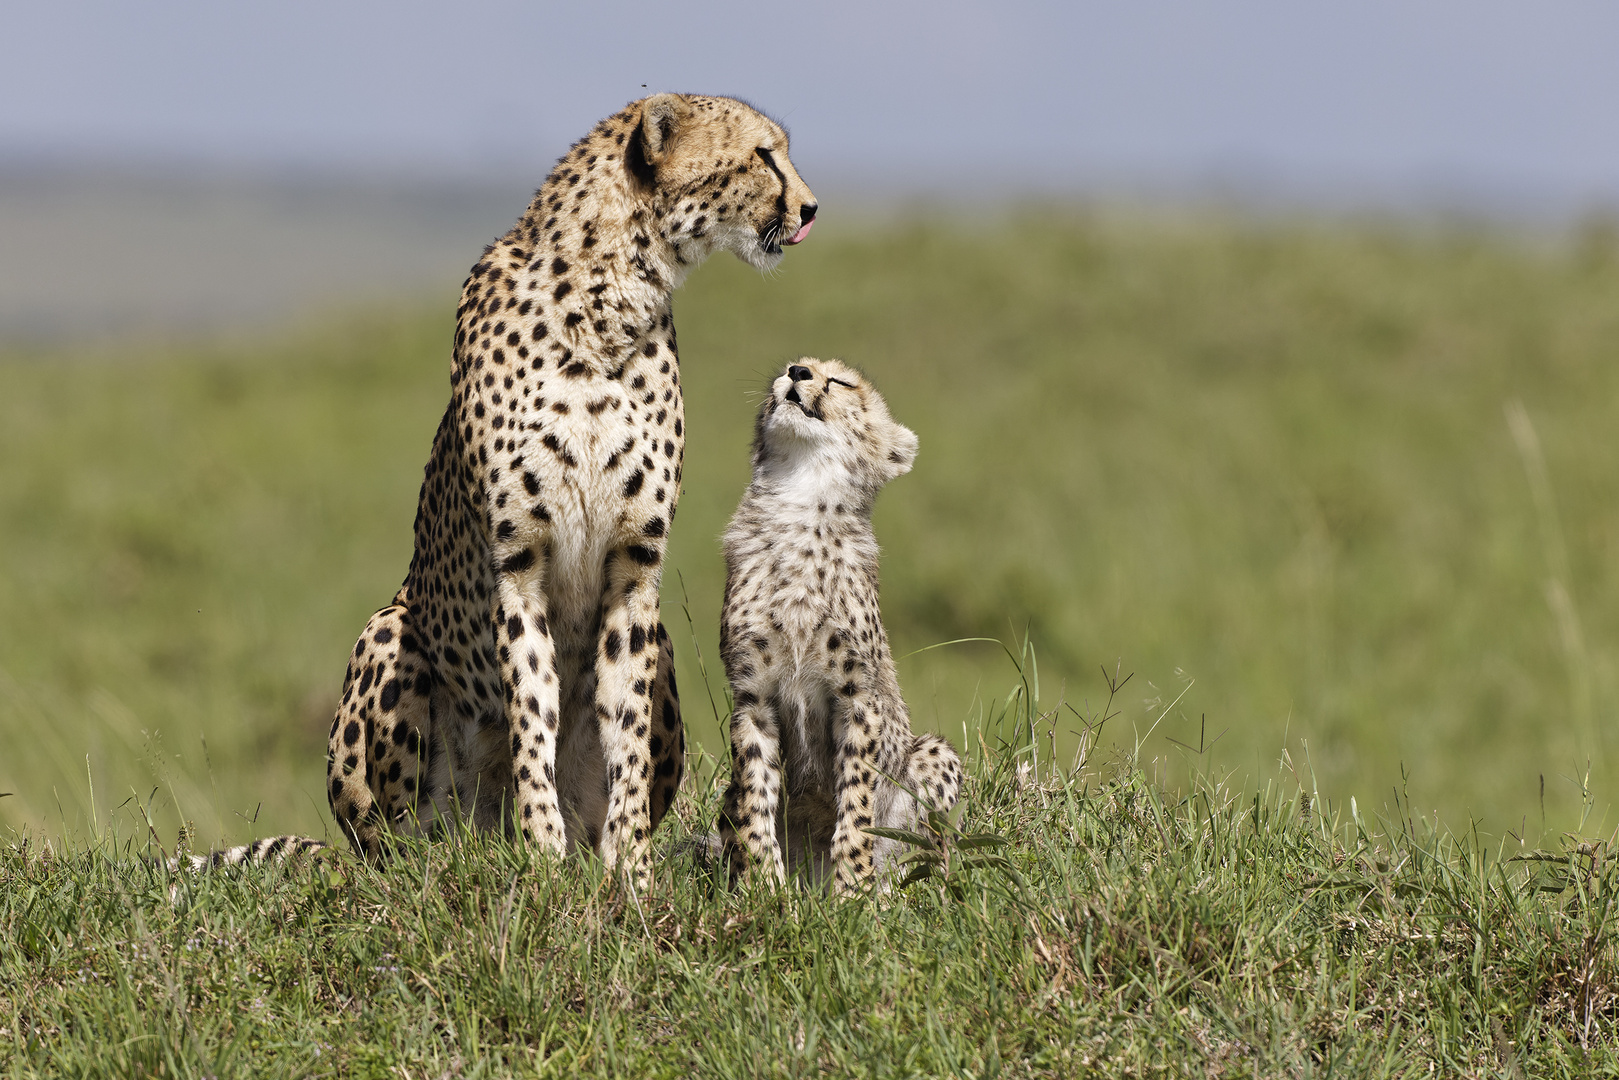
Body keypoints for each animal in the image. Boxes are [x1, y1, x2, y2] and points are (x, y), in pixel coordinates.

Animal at [718, 359, 958, 893]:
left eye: (843, 383)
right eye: (795, 363)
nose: (797, 371)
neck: (799, 498)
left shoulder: (857, 696)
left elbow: (856, 805)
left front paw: (853, 891)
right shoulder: (752, 697)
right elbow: (756, 801)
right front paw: (765, 889)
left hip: (934, 754)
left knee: (924, 855)